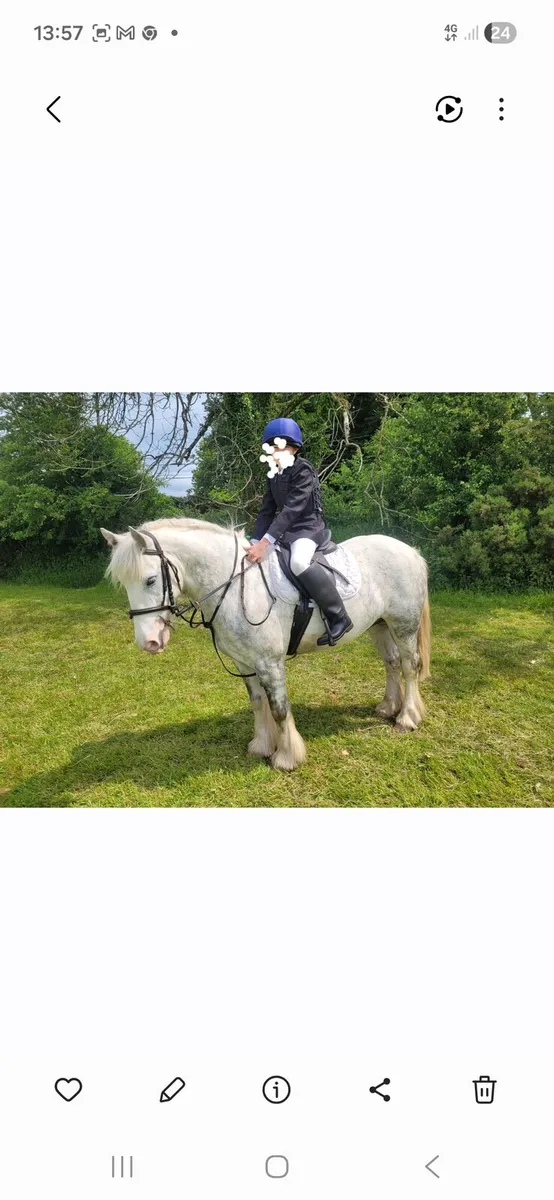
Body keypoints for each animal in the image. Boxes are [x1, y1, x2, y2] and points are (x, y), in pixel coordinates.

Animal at [101, 518, 431, 771]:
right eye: (124, 584)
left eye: (150, 580)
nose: (149, 642)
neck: (235, 585)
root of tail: (410, 551)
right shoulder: (245, 663)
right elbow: (258, 703)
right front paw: (261, 745)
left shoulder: (270, 663)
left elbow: (279, 709)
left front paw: (286, 757)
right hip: (380, 626)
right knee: (391, 664)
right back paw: (388, 707)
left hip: (403, 625)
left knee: (409, 665)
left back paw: (407, 718)